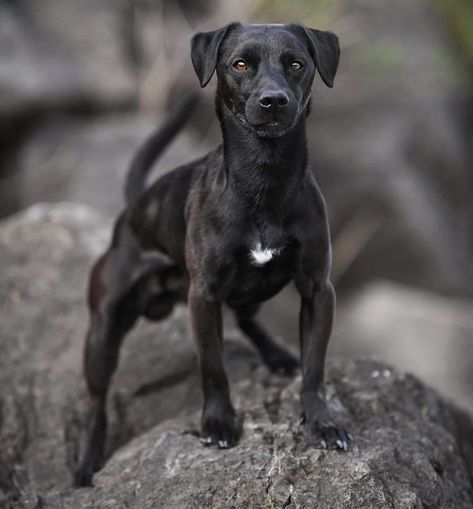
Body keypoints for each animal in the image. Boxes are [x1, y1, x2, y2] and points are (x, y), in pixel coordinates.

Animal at [73, 21, 346, 486]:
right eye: (240, 64)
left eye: (296, 64)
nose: (274, 100)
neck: (265, 178)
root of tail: (135, 207)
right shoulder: (203, 297)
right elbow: (213, 367)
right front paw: (218, 422)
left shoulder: (317, 291)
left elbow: (314, 368)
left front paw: (321, 422)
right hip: (103, 331)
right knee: (96, 402)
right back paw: (87, 461)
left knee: (249, 318)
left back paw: (276, 355)